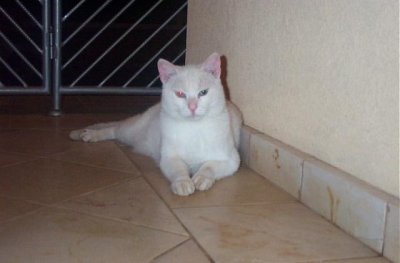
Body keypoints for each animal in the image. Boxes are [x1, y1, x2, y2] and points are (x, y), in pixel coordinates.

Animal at [70, 52, 242, 196]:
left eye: (203, 92)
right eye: (180, 94)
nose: (192, 107)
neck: (195, 128)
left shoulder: (231, 160)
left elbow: (209, 167)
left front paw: (201, 178)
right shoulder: (168, 158)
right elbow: (178, 170)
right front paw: (183, 183)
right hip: (130, 131)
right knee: (114, 128)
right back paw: (88, 134)